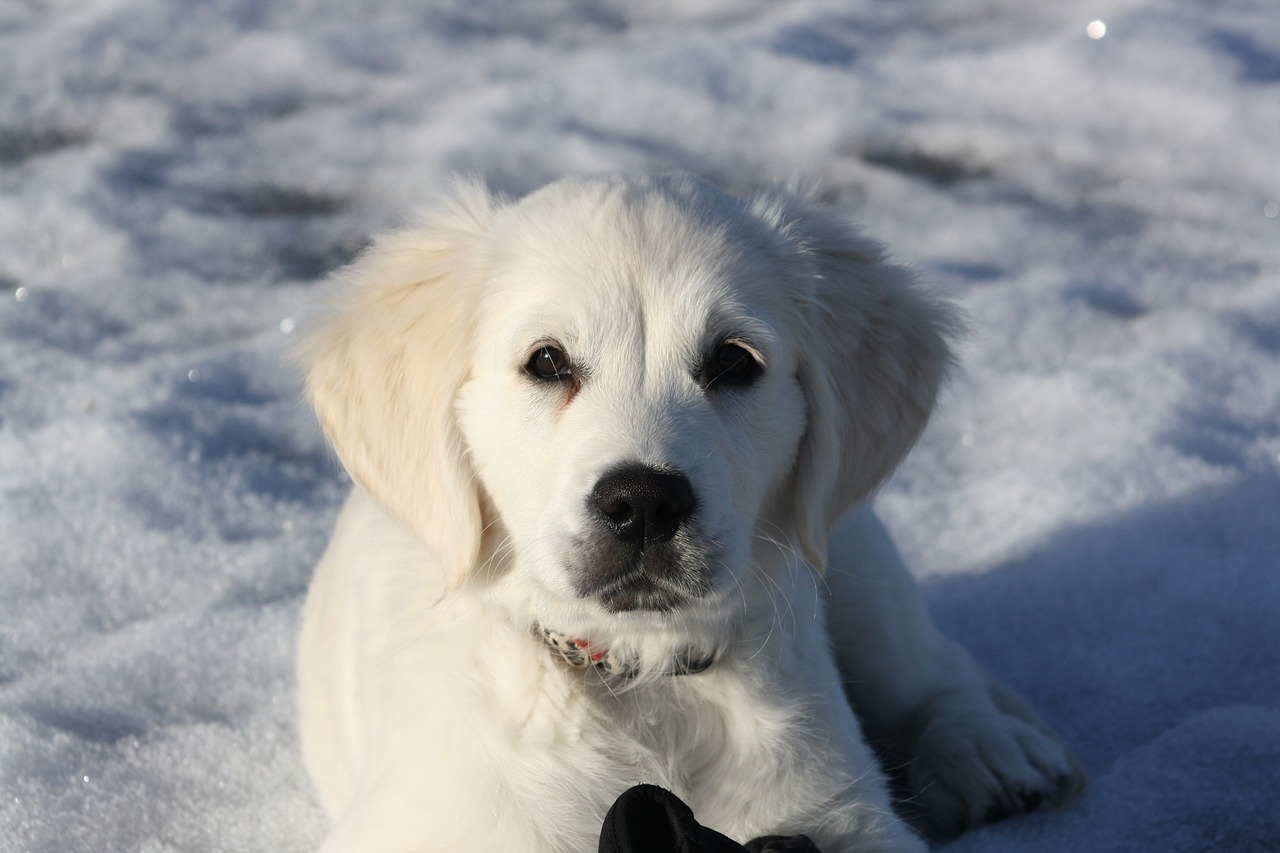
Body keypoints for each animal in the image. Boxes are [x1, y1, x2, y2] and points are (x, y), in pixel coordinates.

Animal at [294, 172, 1085, 850]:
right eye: (547, 362)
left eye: (734, 361)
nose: (643, 502)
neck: (641, 680)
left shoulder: (841, 817)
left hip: (856, 563)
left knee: (934, 667)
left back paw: (989, 752)